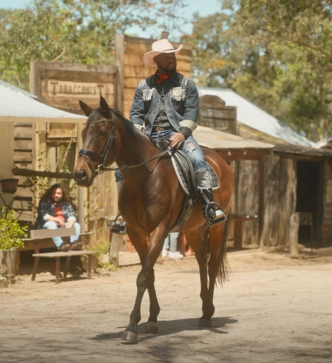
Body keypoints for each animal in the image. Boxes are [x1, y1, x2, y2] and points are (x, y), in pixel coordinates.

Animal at [73, 96, 233, 344]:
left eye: (102, 132)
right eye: (83, 133)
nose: (80, 174)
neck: (145, 177)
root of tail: (220, 160)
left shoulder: (159, 230)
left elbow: (143, 276)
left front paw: (131, 328)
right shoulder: (136, 232)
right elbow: (149, 275)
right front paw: (152, 319)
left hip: (217, 227)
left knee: (212, 264)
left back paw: (208, 314)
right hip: (191, 229)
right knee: (201, 261)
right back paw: (204, 308)